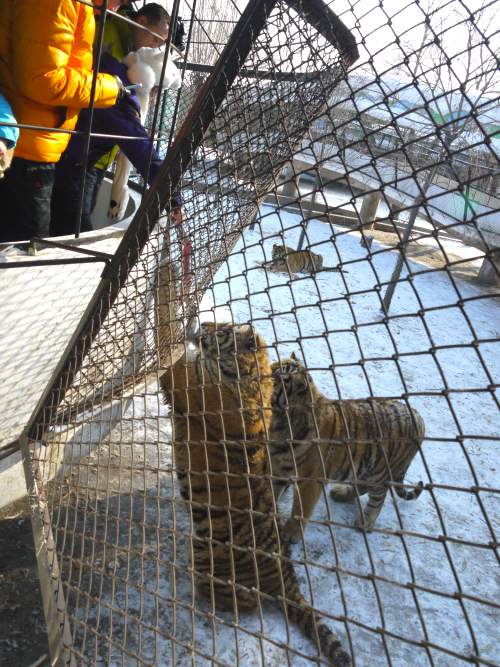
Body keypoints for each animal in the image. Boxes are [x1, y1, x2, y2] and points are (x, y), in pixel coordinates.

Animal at [160, 323, 351, 666]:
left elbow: (178, 368)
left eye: (222, 330)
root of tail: (286, 575)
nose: (204, 326)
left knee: (242, 603)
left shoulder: (199, 390)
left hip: (204, 550)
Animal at [269, 354, 425, 540]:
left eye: (278, 373)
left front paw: (290, 533)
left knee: (378, 497)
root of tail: (418, 416)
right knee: (362, 486)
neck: (282, 420)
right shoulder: (279, 468)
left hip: (380, 473)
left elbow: (301, 509)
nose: (265, 367)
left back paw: (365, 522)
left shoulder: (310, 481)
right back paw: (341, 494)